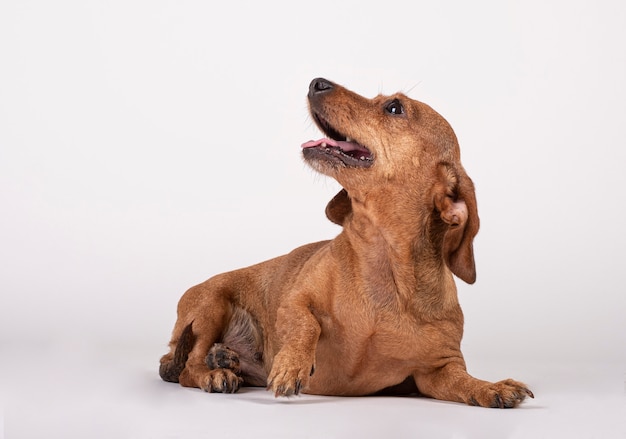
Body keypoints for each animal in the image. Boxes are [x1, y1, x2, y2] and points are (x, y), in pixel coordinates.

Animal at [157, 78, 532, 410]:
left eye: (394, 107)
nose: (316, 82)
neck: (382, 265)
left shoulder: (438, 369)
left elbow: (464, 382)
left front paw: (492, 388)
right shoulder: (294, 301)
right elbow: (306, 324)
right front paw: (291, 365)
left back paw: (224, 357)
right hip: (210, 304)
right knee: (187, 367)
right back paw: (215, 370)